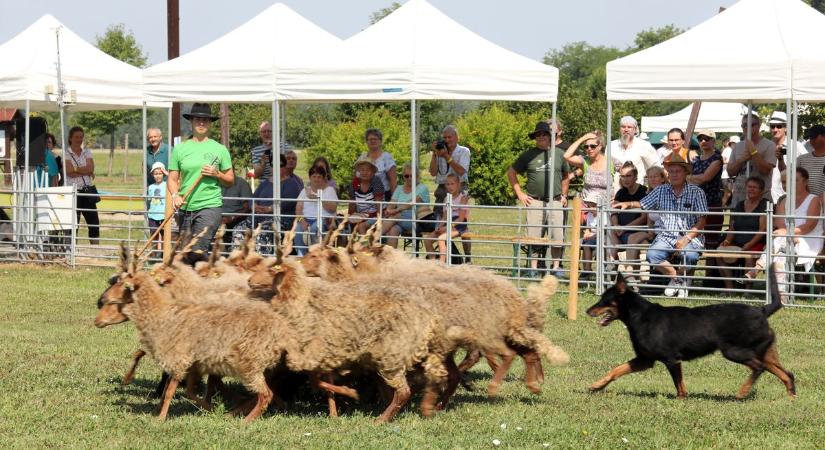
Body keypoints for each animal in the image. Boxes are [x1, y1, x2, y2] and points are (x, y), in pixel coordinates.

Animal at [584, 268, 796, 400]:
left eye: (604, 300)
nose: (587, 311)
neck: (640, 316)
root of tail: (762, 310)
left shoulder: (672, 360)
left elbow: (680, 386)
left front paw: (681, 400)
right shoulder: (645, 360)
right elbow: (616, 370)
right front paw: (597, 385)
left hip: (734, 351)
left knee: (759, 368)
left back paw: (742, 392)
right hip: (765, 351)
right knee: (787, 374)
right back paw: (791, 398)